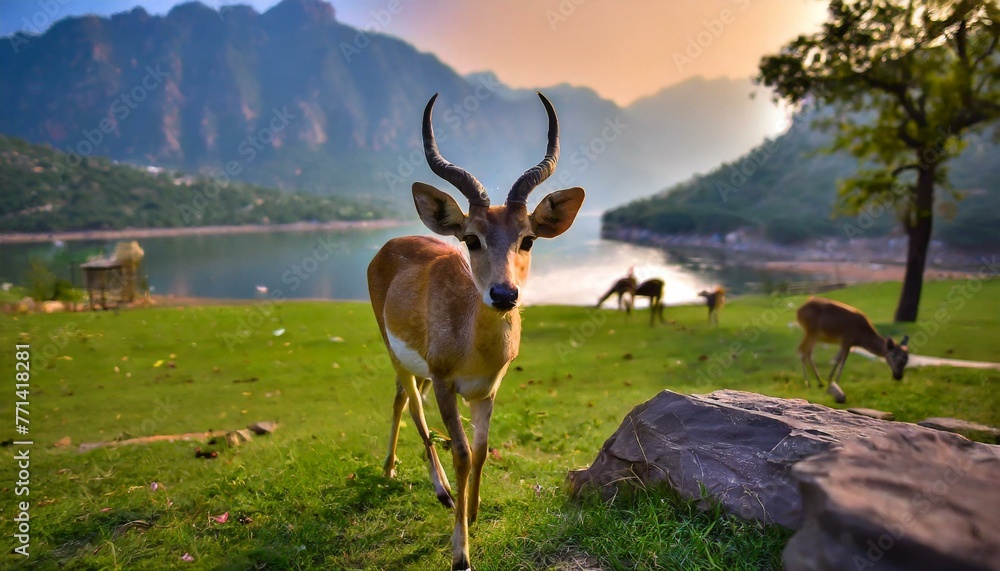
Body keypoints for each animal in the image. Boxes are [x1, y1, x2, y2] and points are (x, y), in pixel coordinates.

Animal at [367, 92, 584, 571]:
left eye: (528, 239)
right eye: (470, 238)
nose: (503, 294)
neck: (474, 347)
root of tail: (390, 245)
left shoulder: (489, 389)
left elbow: (483, 450)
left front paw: (475, 510)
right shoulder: (446, 383)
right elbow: (463, 452)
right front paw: (460, 550)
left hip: (416, 370)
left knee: (399, 400)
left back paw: (394, 469)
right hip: (398, 356)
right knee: (414, 410)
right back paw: (441, 491)